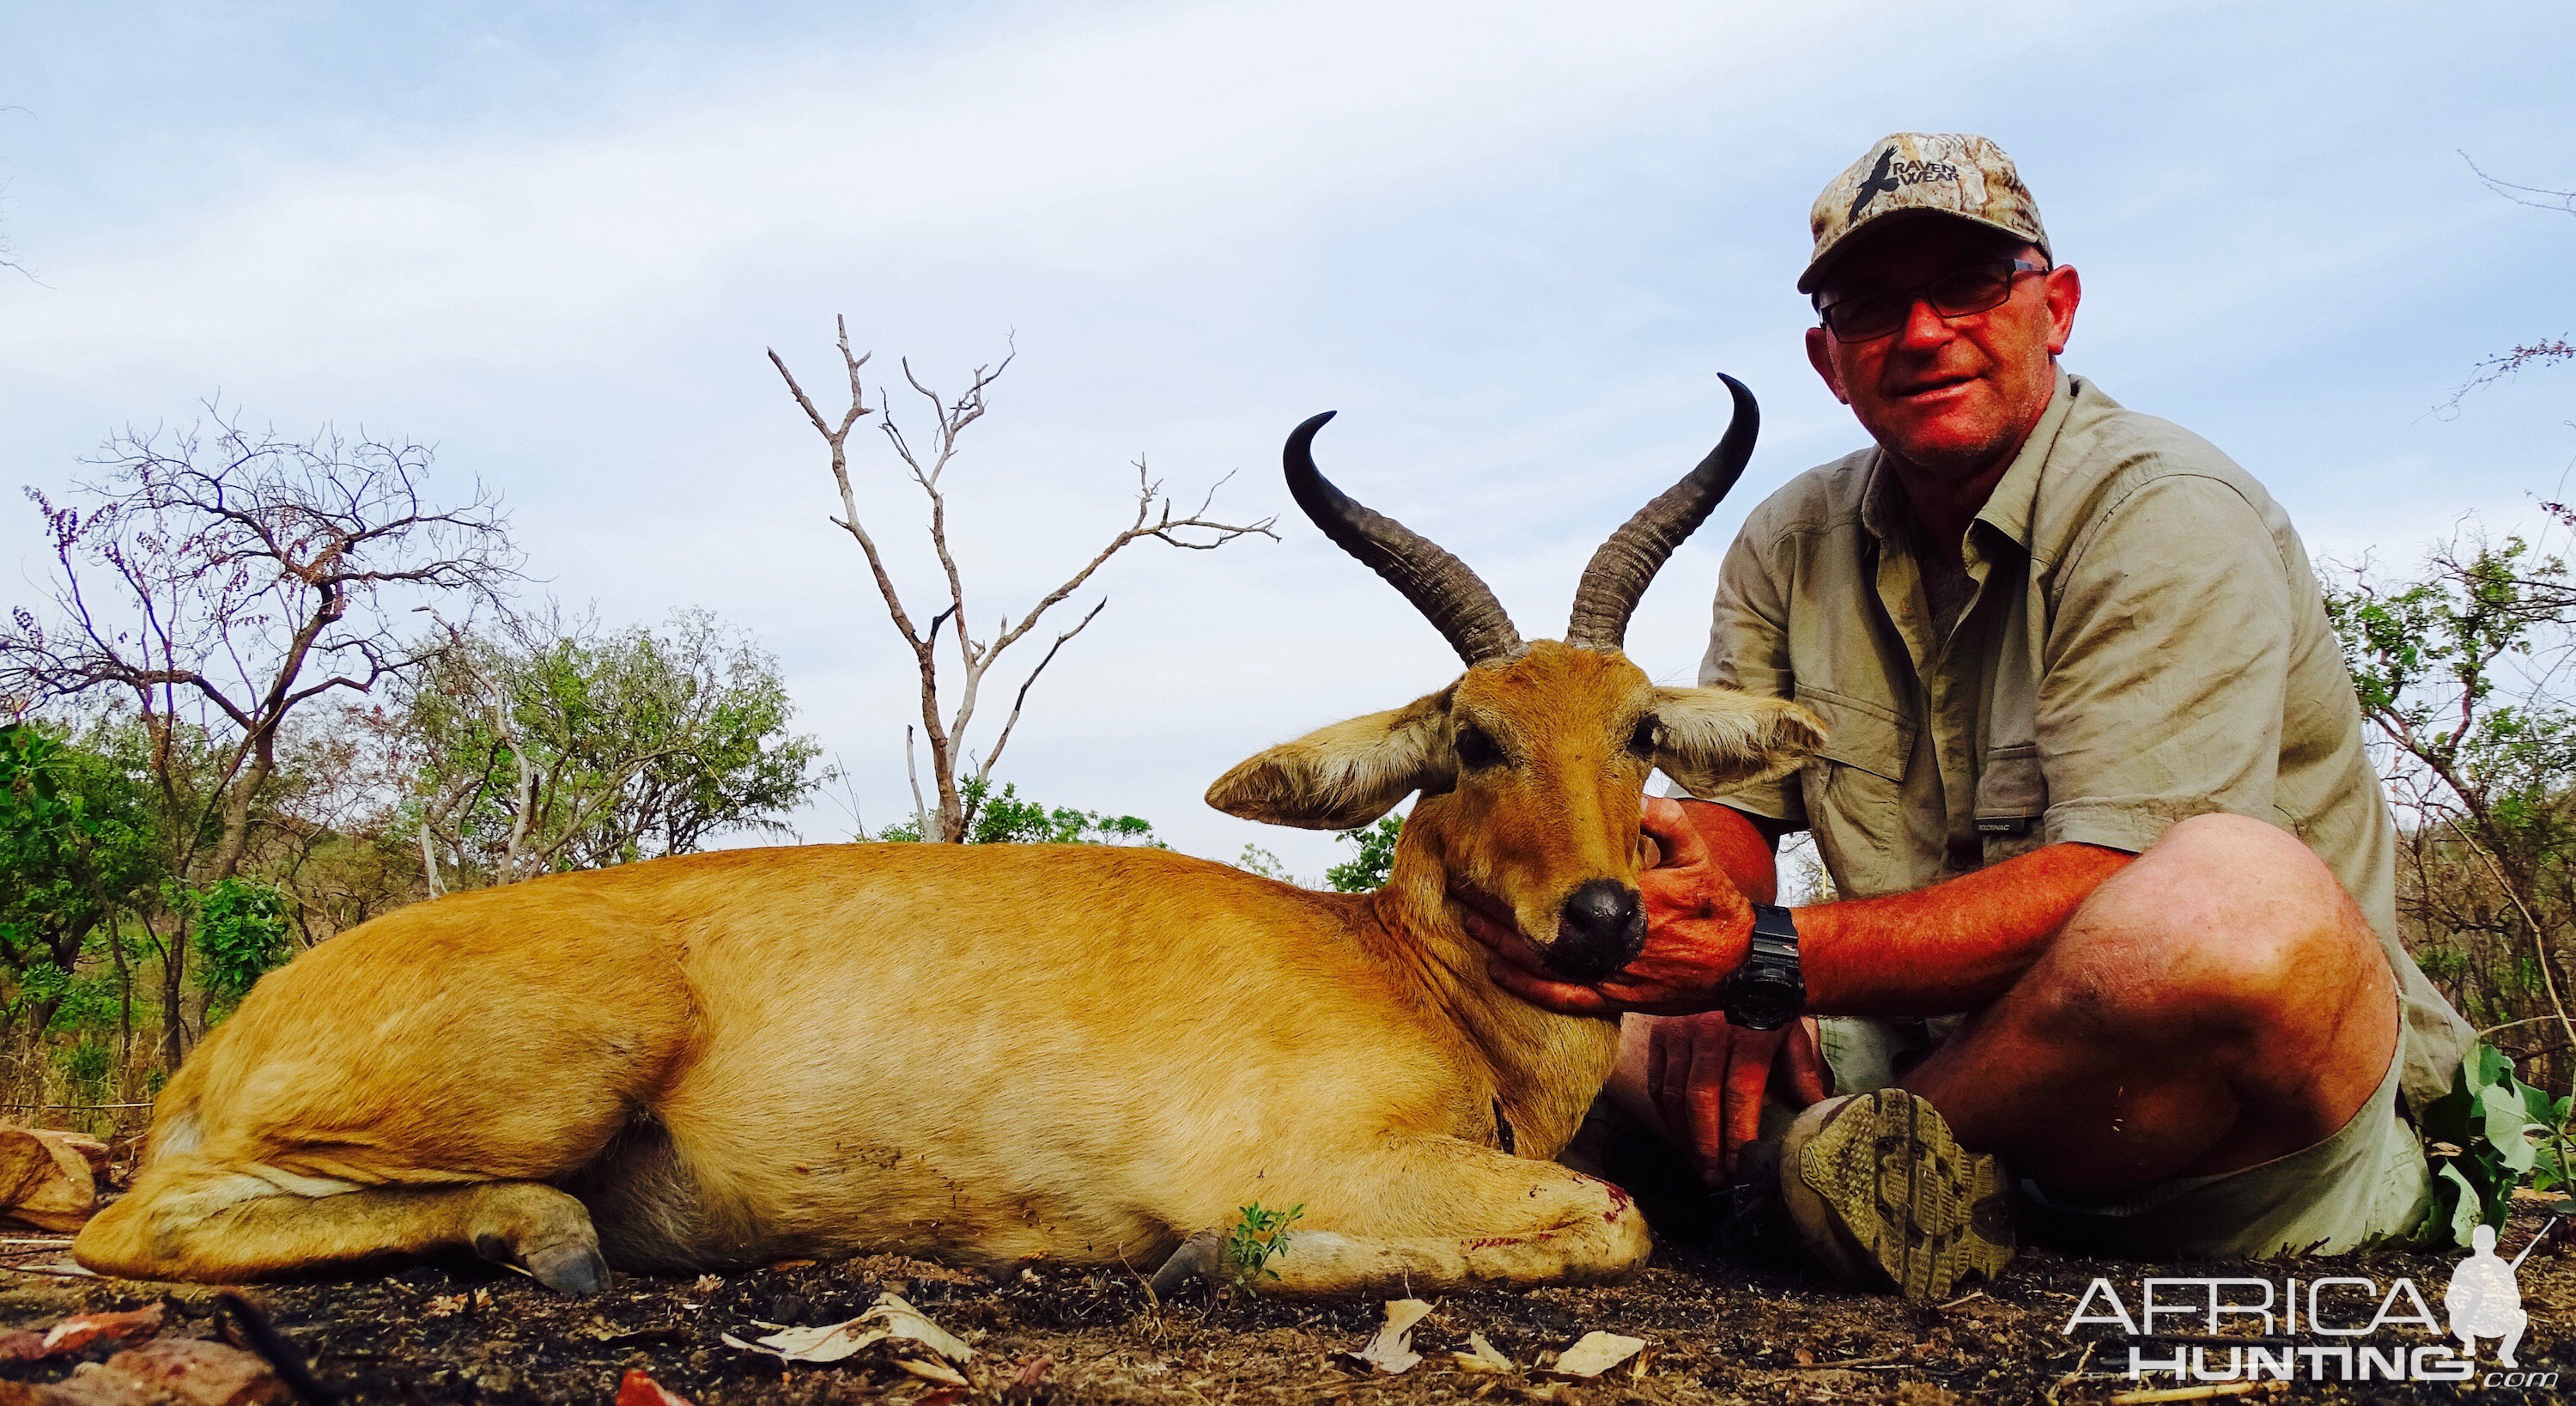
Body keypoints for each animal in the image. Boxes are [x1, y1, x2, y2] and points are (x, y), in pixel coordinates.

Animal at [75, 370, 1814, 1293]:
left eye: (1639, 733)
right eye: (1470, 738)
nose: (1602, 917)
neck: (1407, 976)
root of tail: (230, 1031)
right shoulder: (1313, 1159)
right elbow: (1607, 1218)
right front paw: (1213, 1261)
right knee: (127, 1218)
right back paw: (551, 1240)